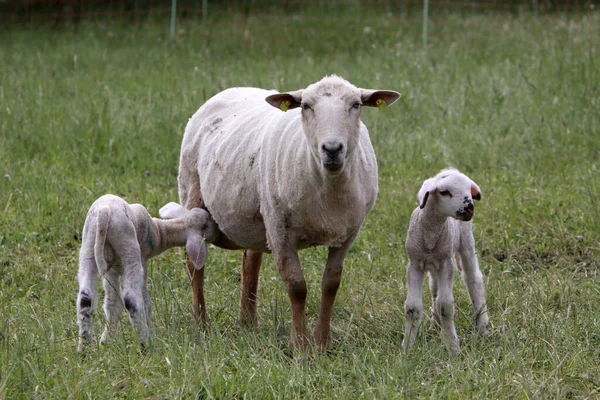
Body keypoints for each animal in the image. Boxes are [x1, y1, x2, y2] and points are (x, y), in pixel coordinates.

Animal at [74, 195, 216, 352]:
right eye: (205, 225)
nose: (216, 224)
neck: (159, 232)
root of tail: (104, 213)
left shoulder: (111, 271)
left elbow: (112, 303)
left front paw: (106, 340)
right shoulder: (143, 260)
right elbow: (146, 302)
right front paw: (153, 336)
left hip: (88, 247)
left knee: (85, 298)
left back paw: (85, 347)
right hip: (129, 248)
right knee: (131, 299)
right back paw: (144, 344)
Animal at [178, 75, 404, 350]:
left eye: (356, 105)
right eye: (306, 106)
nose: (332, 149)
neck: (329, 188)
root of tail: (230, 90)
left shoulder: (347, 234)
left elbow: (331, 284)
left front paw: (322, 342)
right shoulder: (280, 231)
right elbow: (296, 287)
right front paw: (300, 345)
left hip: (255, 218)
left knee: (250, 261)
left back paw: (248, 323)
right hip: (193, 195)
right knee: (194, 265)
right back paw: (201, 324)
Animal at [400, 169, 490, 354]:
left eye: (468, 189)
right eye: (444, 192)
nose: (469, 208)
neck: (430, 236)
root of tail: (449, 170)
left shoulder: (446, 265)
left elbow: (445, 306)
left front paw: (452, 346)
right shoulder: (415, 264)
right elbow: (412, 307)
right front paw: (407, 349)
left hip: (466, 242)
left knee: (473, 279)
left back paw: (482, 326)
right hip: (435, 265)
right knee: (434, 289)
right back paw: (435, 324)